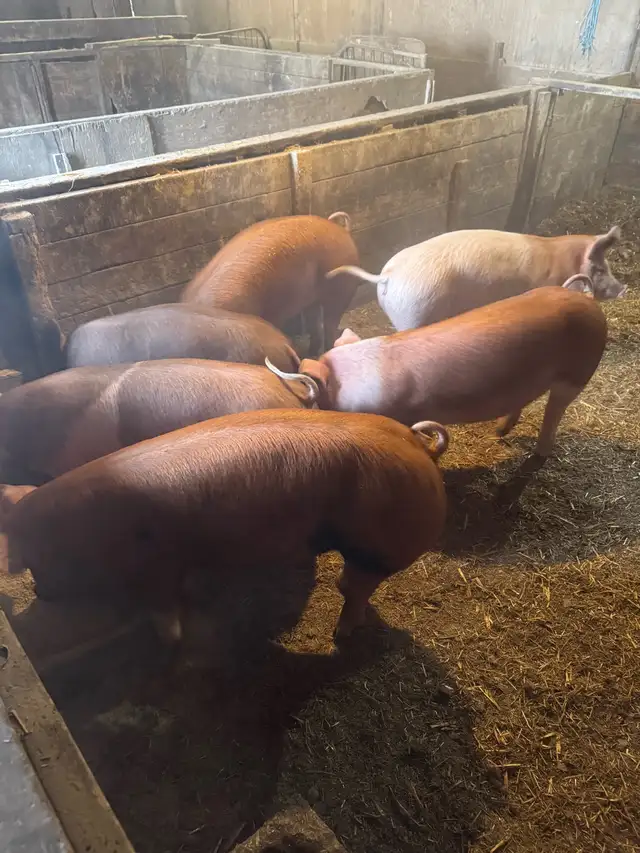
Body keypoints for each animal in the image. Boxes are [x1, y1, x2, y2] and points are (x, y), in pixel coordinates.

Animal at [1, 409, 449, 643]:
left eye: (37, 556)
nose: (39, 592)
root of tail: (417, 443)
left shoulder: (156, 567)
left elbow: (164, 613)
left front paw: (168, 638)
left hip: (376, 545)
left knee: (355, 587)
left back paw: (341, 634)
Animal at [265, 285, 607, 458]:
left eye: (317, 399)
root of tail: (587, 300)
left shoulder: (398, 415)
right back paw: (499, 432)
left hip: (577, 373)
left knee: (554, 414)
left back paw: (536, 455)